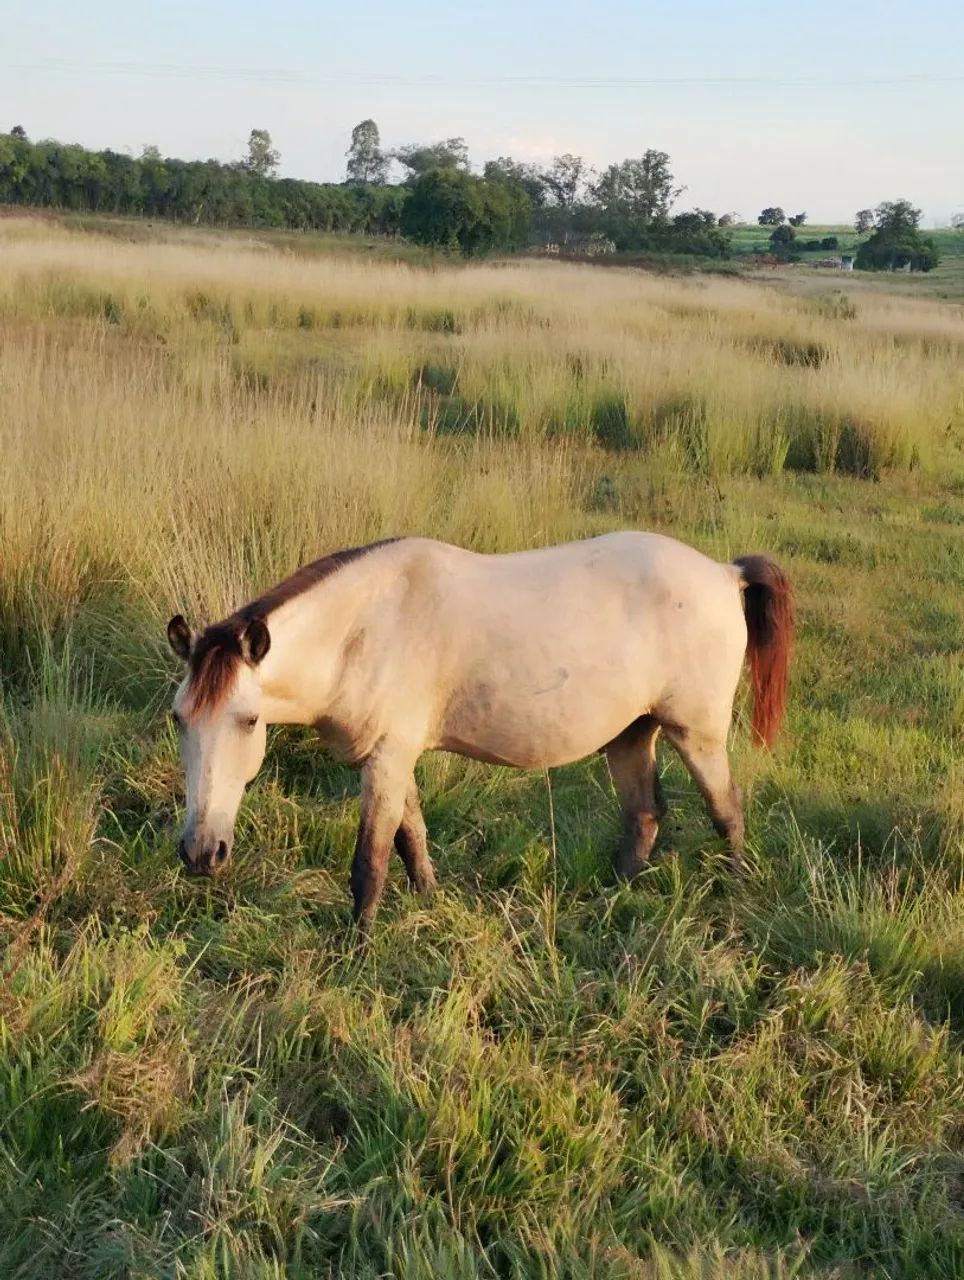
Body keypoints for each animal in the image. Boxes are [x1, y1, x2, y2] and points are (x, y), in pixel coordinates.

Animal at [166, 532, 793, 931]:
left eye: (249, 720)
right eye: (179, 719)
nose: (200, 852)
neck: (364, 630)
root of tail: (725, 573)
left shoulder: (386, 760)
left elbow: (371, 862)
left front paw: (355, 951)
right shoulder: (395, 757)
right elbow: (412, 838)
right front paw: (429, 903)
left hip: (697, 733)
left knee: (726, 810)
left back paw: (737, 892)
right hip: (631, 734)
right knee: (644, 815)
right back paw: (612, 903)